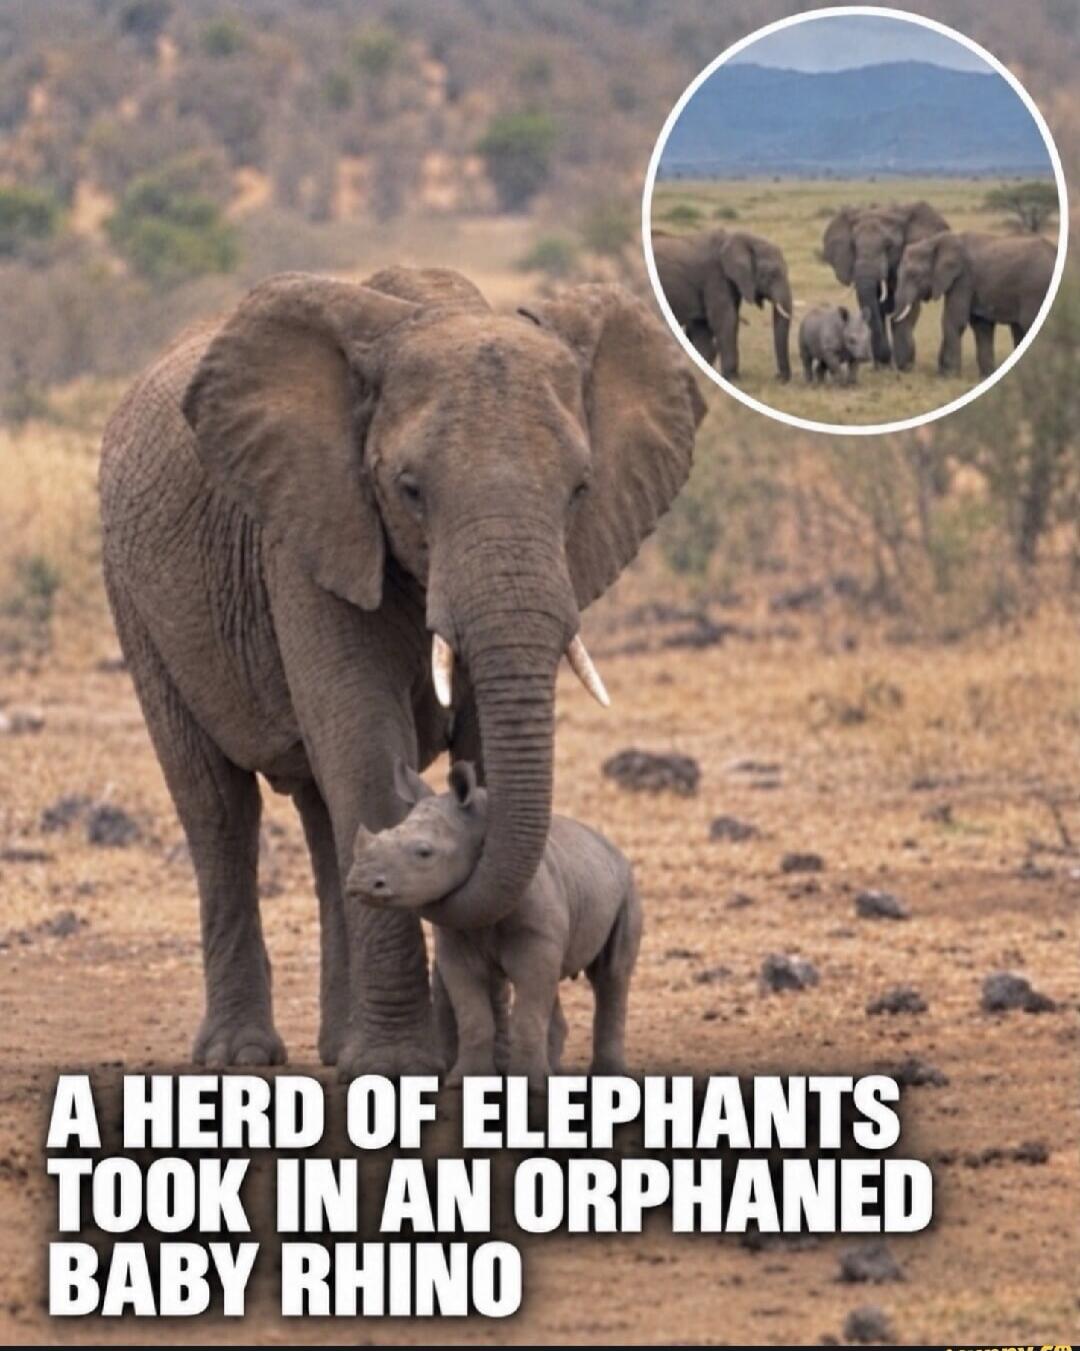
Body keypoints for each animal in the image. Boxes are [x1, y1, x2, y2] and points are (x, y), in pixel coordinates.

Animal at [99, 266, 705, 1076]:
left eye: (580, 490)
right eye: (411, 489)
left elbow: (474, 758)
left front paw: (481, 1059)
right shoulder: (311, 532)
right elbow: (364, 752)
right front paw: (397, 1068)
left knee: (321, 815)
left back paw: (337, 1046)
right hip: (135, 599)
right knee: (218, 808)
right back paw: (241, 1055)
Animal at [652, 228, 793, 382]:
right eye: (772, 274)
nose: (778, 377)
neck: (739, 237)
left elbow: (705, 326)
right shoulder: (715, 277)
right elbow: (726, 320)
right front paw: (732, 378)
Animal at [822, 201, 949, 370]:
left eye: (888, 246)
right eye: (854, 246)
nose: (885, 358)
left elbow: (908, 310)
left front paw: (904, 367)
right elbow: (875, 307)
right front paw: (882, 367)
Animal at [892, 231, 1055, 378]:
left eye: (914, 275)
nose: (904, 369)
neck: (936, 240)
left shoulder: (963, 278)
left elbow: (954, 320)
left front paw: (949, 375)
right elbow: (981, 326)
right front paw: (986, 376)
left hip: (1035, 289)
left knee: (1028, 324)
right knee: (1018, 329)